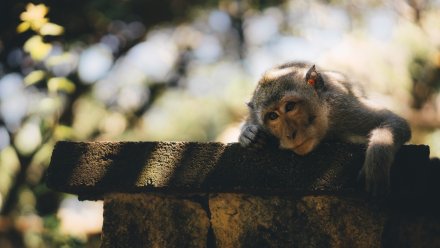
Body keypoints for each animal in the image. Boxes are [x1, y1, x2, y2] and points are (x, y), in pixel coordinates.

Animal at [239, 61, 410, 196]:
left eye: (290, 106)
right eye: (273, 116)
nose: (290, 134)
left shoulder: (342, 109)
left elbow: (393, 121)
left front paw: (376, 162)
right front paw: (248, 135)